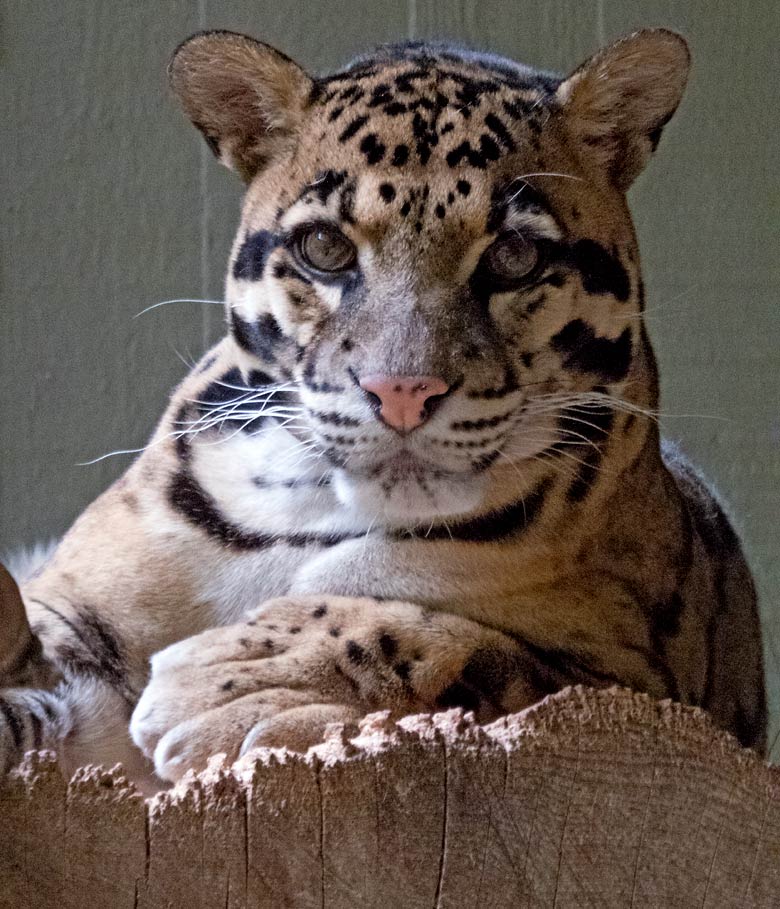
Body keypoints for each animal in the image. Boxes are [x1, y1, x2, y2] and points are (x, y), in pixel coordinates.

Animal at [0, 28, 768, 788]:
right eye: (324, 247)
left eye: (514, 255)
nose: (402, 391)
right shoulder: (74, 604)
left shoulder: (635, 684)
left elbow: (450, 640)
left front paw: (237, 679)